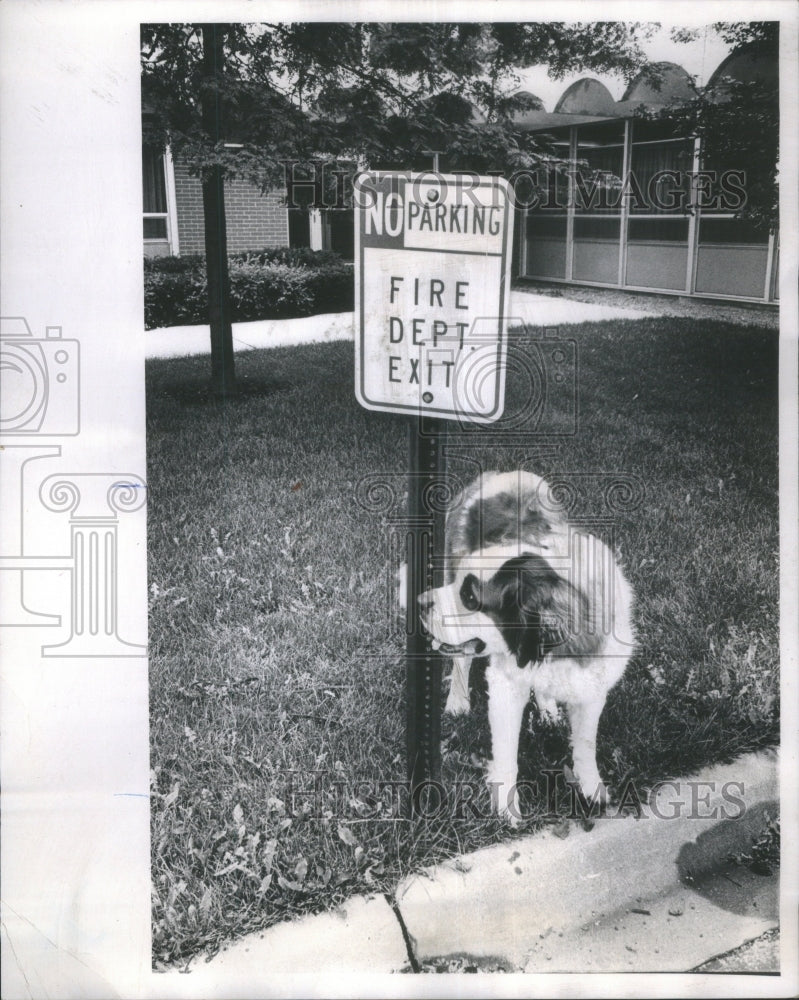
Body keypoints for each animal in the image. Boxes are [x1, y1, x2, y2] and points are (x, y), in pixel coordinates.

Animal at [416, 472, 636, 824]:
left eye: (470, 597)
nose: (421, 602)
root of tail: (499, 474)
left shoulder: (593, 684)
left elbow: (586, 743)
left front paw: (592, 789)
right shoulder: (505, 685)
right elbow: (508, 755)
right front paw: (507, 810)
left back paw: (547, 709)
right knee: (462, 661)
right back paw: (458, 701)